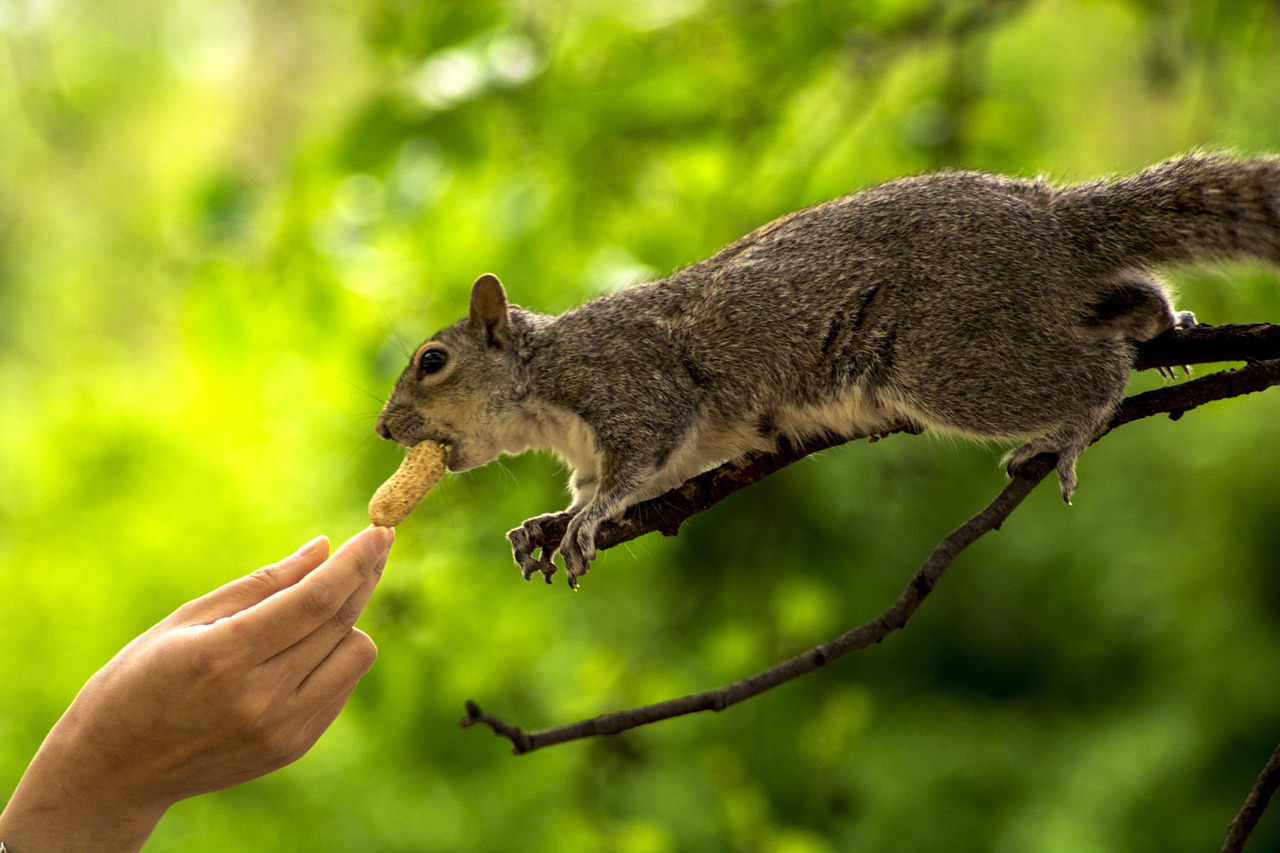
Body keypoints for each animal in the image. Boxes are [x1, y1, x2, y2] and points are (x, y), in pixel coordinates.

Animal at [373, 153, 1280, 584]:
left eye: (432, 361)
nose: (384, 427)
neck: (543, 384)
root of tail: (1048, 219)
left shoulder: (633, 384)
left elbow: (635, 467)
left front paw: (587, 521)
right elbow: (633, 479)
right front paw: (545, 523)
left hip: (951, 354)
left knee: (1094, 368)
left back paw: (1076, 425)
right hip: (1021, 312)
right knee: (1125, 300)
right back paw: (1164, 318)